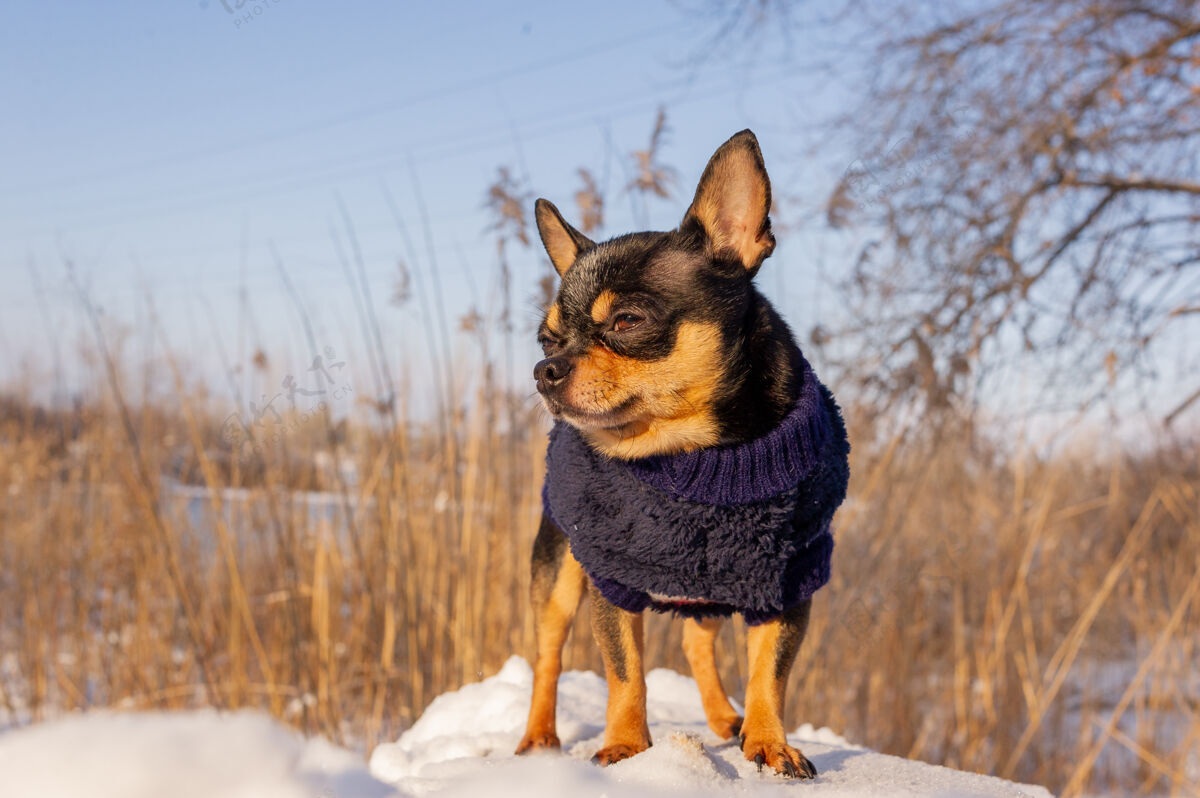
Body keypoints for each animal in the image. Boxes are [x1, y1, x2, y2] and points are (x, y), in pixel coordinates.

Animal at [513, 129, 844, 777]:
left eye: (627, 320)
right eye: (545, 339)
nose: (545, 369)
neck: (696, 453)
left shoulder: (789, 578)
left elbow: (770, 671)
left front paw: (770, 743)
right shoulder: (609, 579)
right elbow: (626, 672)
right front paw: (625, 746)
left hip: (710, 583)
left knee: (696, 639)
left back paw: (724, 719)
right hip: (557, 575)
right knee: (548, 656)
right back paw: (537, 738)